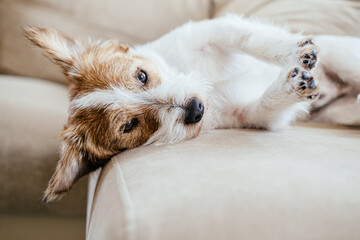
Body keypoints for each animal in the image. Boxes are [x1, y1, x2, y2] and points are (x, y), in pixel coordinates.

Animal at [23, 14, 358, 202]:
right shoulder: (254, 116)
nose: (195, 108)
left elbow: (250, 38)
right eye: (130, 125)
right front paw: (289, 86)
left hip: (346, 57)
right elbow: (267, 103)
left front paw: (293, 52)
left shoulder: (215, 31)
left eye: (141, 76)